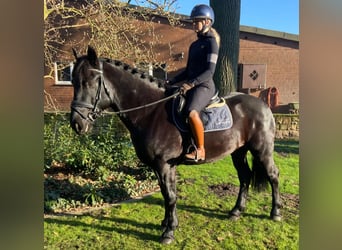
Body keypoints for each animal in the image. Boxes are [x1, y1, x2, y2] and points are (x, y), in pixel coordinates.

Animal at [69, 46, 280, 244]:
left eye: (89, 82)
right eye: (73, 82)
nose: (76, 124)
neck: (151, 111)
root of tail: (263, 105)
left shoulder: (165, 165)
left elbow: (170, 196)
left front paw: (169, 232)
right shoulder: (157, 166)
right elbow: (165, 194)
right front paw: (166, 223)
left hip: (262, 150)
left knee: (273, 175)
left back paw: (275, 213)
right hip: (238, 151)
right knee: (245, 177)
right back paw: (236, 211)